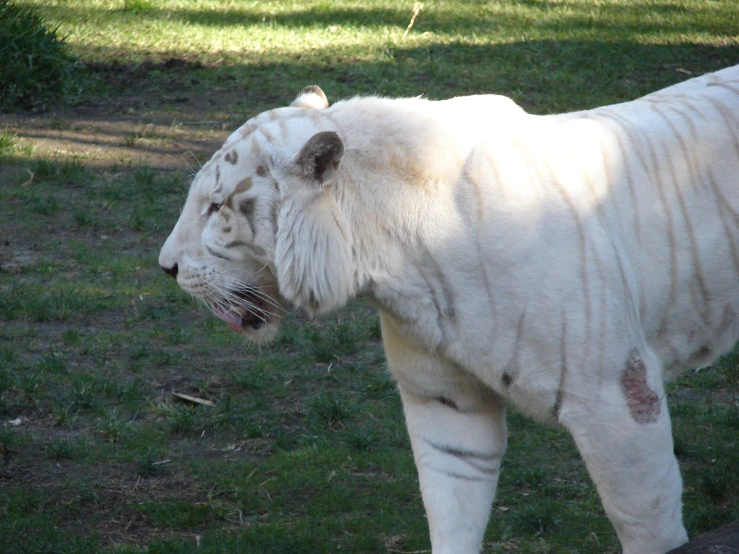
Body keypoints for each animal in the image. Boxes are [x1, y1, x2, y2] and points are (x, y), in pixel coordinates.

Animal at [160, 67, 739, 548]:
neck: (397, 256)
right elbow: (451, 504)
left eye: (216, 207)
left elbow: (645, 519)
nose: (165, 266)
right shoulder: (445, 402)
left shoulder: (615, 397)